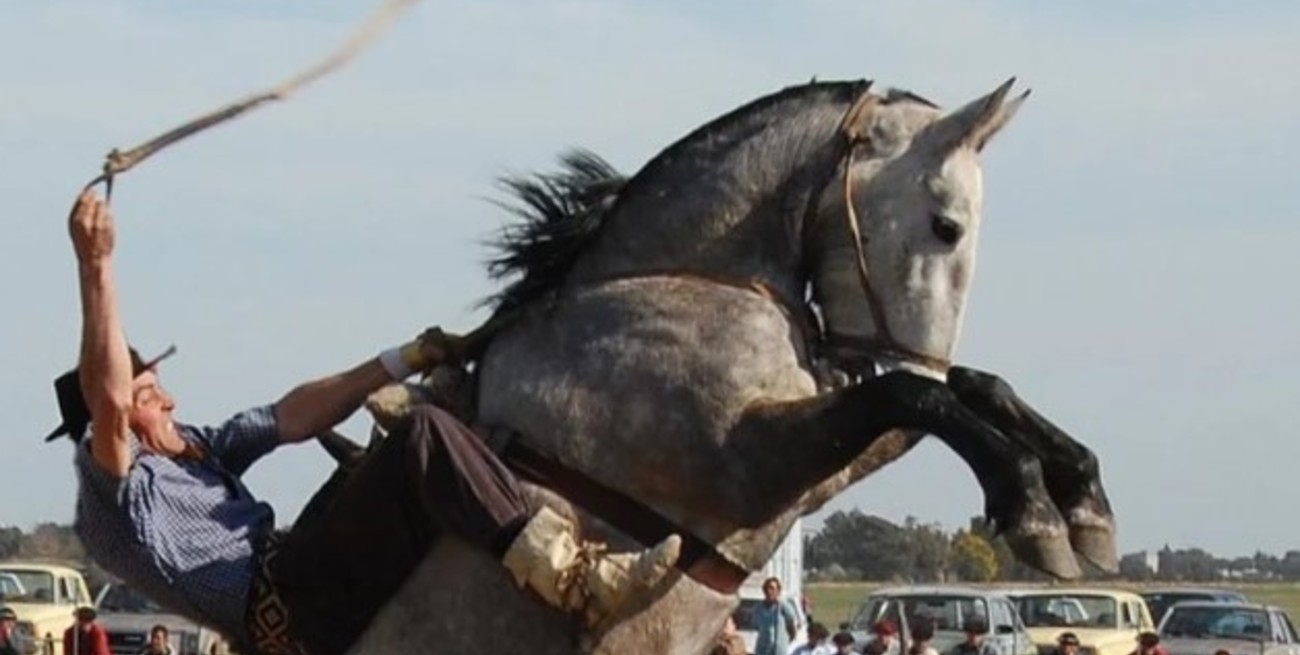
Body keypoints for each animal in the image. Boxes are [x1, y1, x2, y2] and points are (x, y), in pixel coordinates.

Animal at [341, 78, 1116, 654]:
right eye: (946, 226)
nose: (915, 354)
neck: (684, 282)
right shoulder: (745, 459)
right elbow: (912, 398)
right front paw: (1036, 511)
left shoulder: (813, 464)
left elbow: (965, 388)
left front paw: (1085, 505)